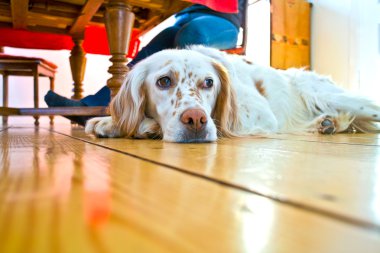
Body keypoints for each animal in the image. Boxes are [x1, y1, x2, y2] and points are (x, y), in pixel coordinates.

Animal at [85, 45, 380, 142]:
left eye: (208, 82)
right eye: (164, 81)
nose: (196, 120)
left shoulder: (262, 115)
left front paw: (146, 126)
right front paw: (108, 122)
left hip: (327, 95)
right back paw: (328, 123)